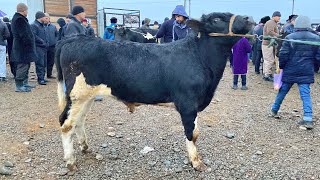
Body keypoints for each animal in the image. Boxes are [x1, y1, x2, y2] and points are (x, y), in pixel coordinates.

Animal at [55, 11, 252, 172]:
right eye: (217, 19)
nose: (248, 18)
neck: (200, 57)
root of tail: (74, 39)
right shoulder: (188, 104)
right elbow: (192, 133)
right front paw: (196, 162)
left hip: (87, 96)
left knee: (79, 121)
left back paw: (85, 147)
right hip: (77, 94)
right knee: (66, 124)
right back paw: (70, 161)